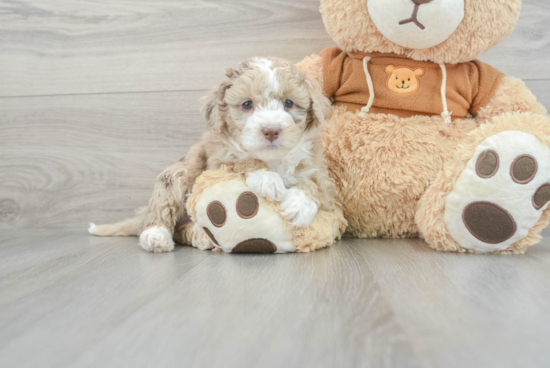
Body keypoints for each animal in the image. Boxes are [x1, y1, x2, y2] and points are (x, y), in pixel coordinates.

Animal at [89, 57, 336, 253]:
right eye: (247, 104)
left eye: (289, 103)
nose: (271, 130)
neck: (273, 159)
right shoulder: (216, 159)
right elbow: (240, 159)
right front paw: (266, 178)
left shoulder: (318, 168)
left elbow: (314, 184)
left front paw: (298, 205)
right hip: (179, 174)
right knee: (163, 205)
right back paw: (156, 236)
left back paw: (200, 236)